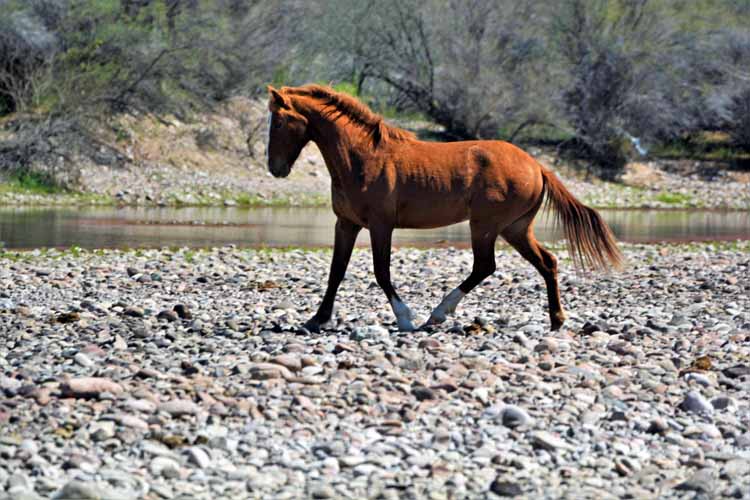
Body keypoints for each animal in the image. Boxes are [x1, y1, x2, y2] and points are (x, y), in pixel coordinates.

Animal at [264, 84, 624, 334]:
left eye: (279, 122)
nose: (275, 169)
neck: (362, 158)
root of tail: (537, 165)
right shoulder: (346, 224)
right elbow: (336, 272)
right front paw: (317, 319)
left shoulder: (381, 225)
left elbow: (382, 272)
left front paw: (405, 319)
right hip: (516, 229)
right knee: (547, 263)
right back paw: (556, 320)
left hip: (485, 226)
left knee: (485, 266)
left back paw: (437, 314)